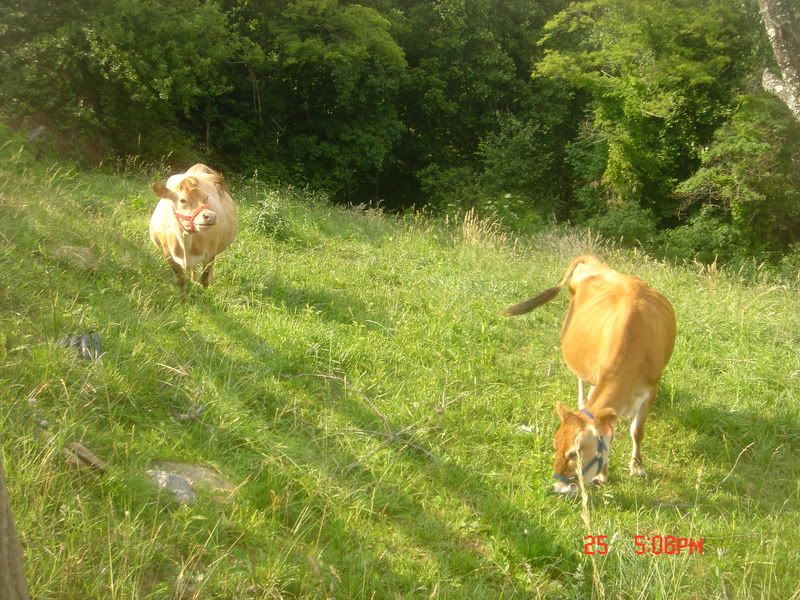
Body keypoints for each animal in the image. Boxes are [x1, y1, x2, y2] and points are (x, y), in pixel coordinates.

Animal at [503, 255, 676, 495]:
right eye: (555, 445)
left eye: (574, 453)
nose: (557, 486)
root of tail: (595, 262)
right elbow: (609, 432)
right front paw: (602, 475)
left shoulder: (651, 389)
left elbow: (637, 431)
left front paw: (637, 468)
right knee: (581, 384)